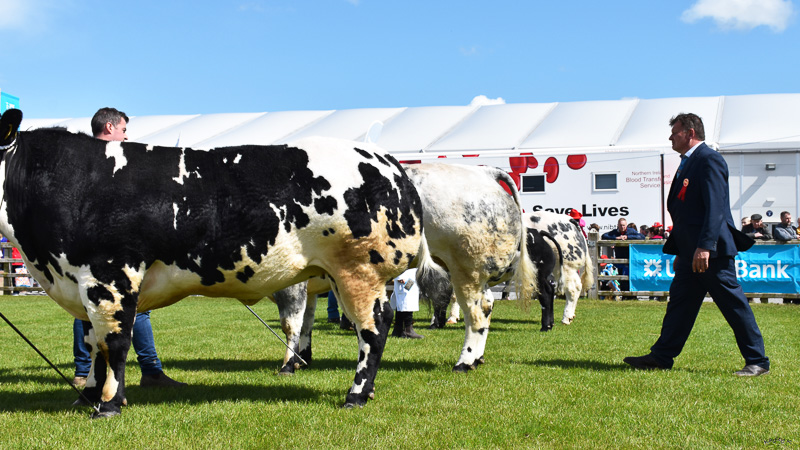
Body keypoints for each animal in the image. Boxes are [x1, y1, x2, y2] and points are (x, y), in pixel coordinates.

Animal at [0, 110, 432, 418]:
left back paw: (356, 395)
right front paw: (87, 393)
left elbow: (115, 342)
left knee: (373, 329)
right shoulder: (80, 281)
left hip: (359, 272)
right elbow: (93, 343)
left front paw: (107, 404)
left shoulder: (110, 277)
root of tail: (386, 160)